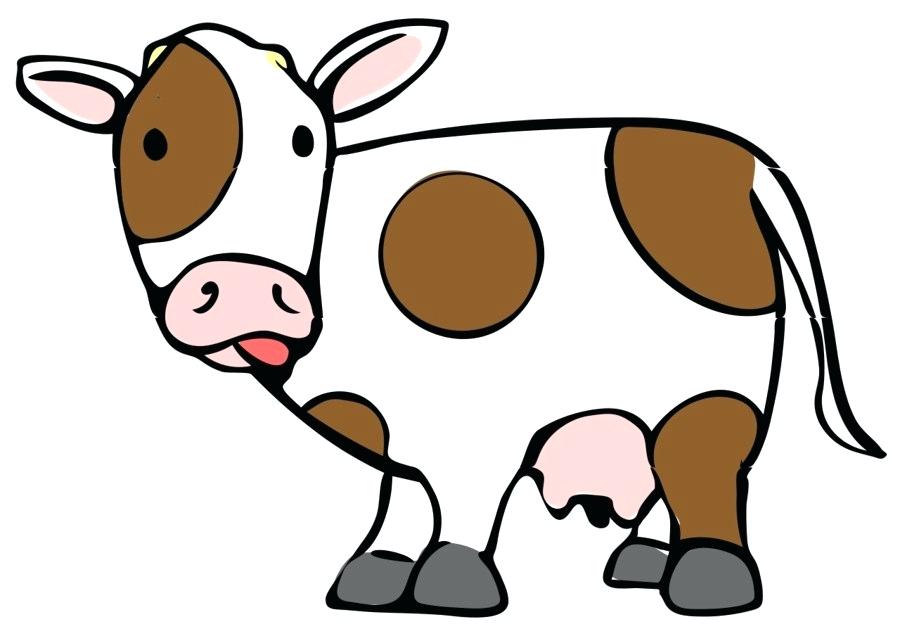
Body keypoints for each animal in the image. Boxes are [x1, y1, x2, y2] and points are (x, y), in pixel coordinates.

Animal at [15, 19, 884, 617]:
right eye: (150, 142)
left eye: (306, 138)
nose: (242, 286)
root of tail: (734, 155)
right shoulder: (397, 417)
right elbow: (401, 489)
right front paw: (373, 577)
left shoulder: (480, 410)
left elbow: (463, 492)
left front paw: (453, 586)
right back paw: (639, 563)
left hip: (712, 379)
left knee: (704, 462)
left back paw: (706, 582)